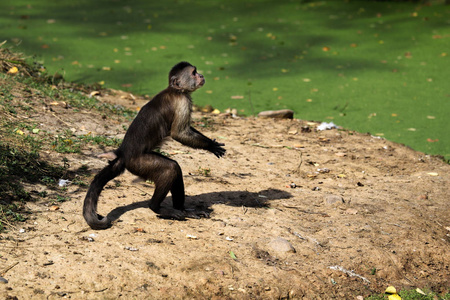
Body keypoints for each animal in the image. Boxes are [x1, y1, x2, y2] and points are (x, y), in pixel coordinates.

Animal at [82, 61, 225, 230]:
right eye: (194, 73)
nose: (201, 75)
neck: (176, 90)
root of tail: (123, 154)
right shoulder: (182, 101)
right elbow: (179, 133)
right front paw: (211, 145)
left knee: (175, 167)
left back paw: (182, 210)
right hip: (138, 164)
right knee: (170, 169)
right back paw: (156, 207)